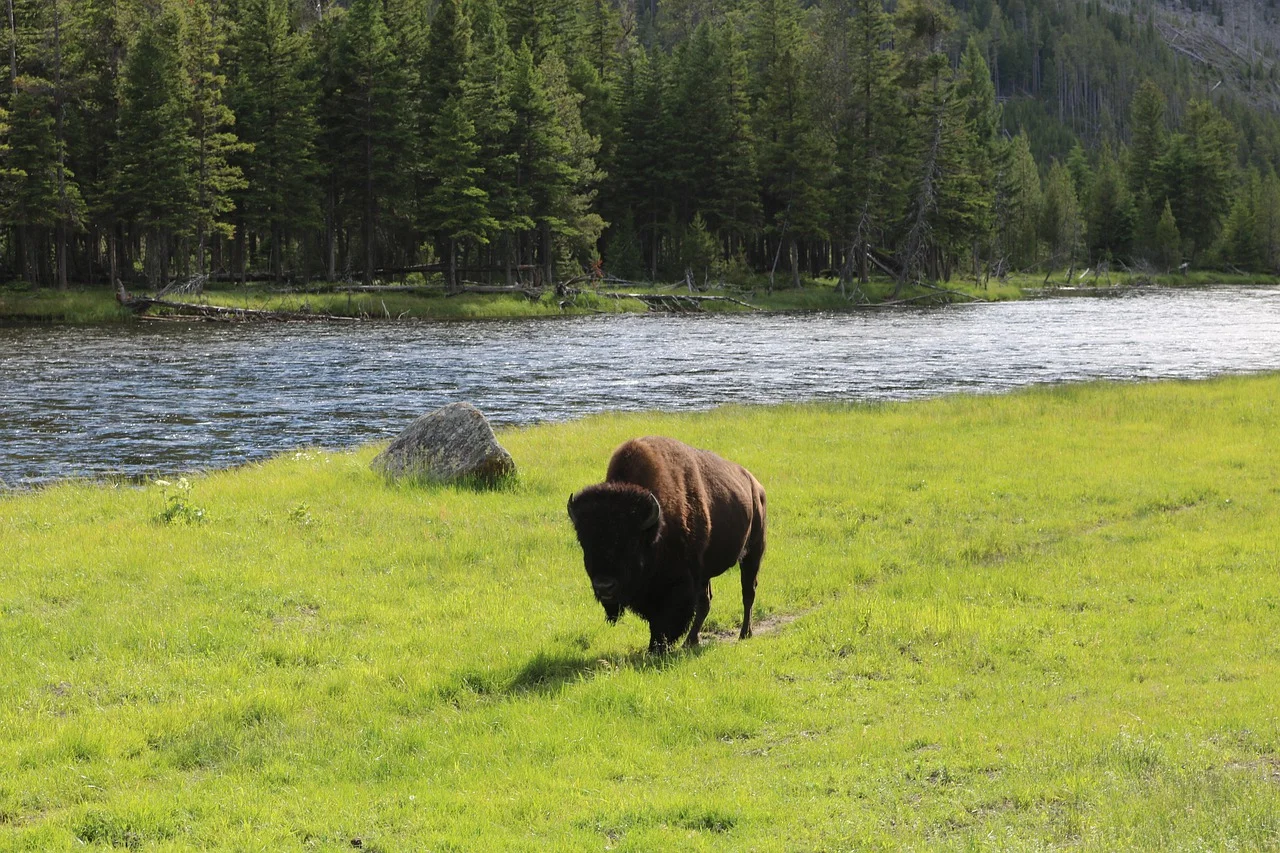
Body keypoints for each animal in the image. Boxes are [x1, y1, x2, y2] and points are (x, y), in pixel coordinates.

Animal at [567, 436, 766, 653]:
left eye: (631, 543)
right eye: (584, 542)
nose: (604, 587)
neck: (656, 526)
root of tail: (755, 485)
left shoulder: (677, 584)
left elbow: (665, 617)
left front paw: (658, 648)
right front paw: (655, 647)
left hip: (753, 553)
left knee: (748, 592)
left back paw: (744, 634)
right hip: (706, 572)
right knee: (707, 602)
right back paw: (691, 641)